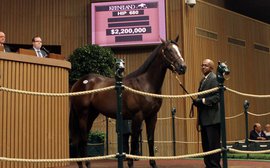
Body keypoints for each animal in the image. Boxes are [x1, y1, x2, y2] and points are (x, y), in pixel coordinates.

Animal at [69, 36, 187, 167]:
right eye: (169, 50)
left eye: (179, 49)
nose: (182, 67)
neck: (145, 84)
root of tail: (78, 82)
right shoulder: (137, 116)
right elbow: (134, 140)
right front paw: (130, 163)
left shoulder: (152, 116)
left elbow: (150, 139)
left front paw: (153, 164)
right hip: (82, 115)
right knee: (83, 138)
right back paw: (87, 163)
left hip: (91, 115)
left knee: (80, 139)